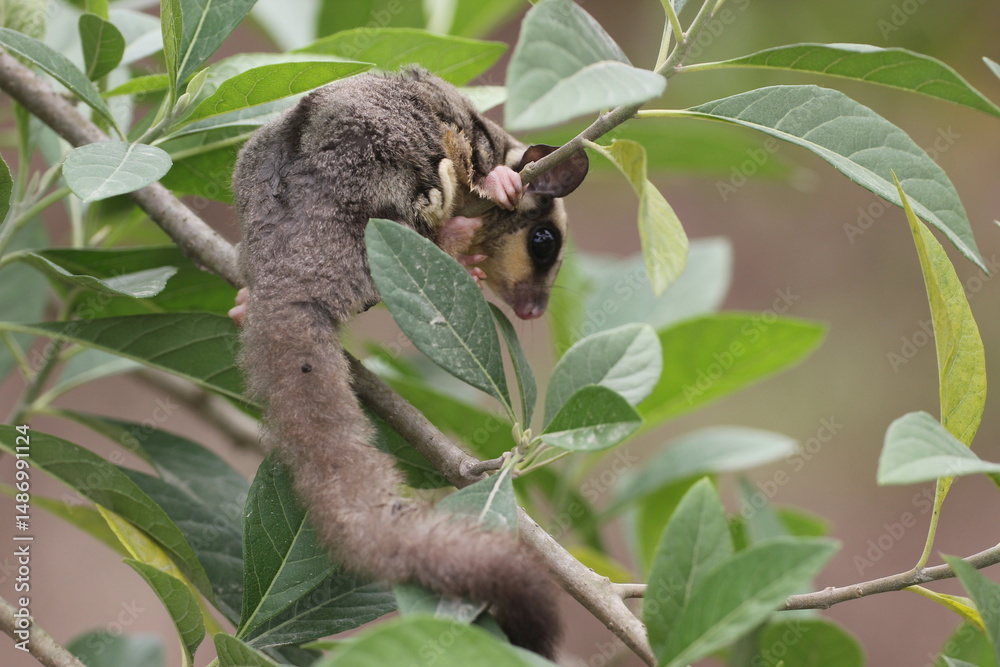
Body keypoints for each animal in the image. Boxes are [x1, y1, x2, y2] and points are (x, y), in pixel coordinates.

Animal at [231, 67, 588, 658]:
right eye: (543, 243)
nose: (533, 310)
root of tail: (294, 260)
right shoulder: (471, 146)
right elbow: (478, 167)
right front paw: (499, 187)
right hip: (384, 203)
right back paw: (453, 236)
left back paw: (244, 300)